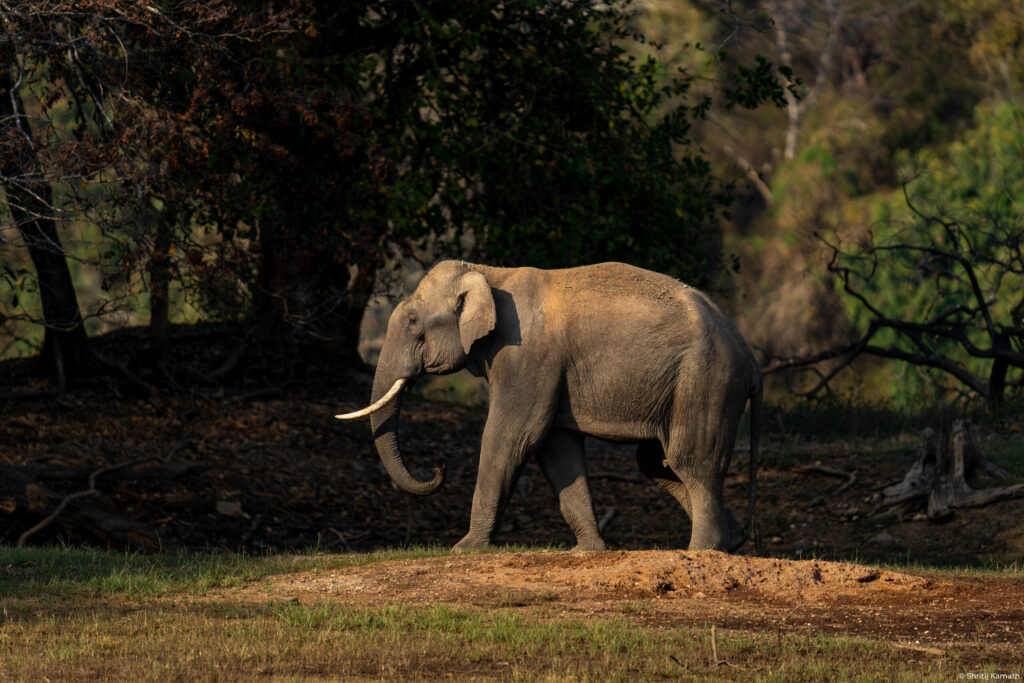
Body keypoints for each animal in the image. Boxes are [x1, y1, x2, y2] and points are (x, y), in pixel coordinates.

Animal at [337, 260, 762, 552]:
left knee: (689, 461)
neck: (491, 273)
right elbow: (556, 446)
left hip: (706, 380)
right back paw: (733, 543)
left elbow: (511, 436)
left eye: (413, 322)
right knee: (658, 462)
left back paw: (702, 552)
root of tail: (750, 358)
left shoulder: (526, 354)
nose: (439, 469)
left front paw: (464, 549)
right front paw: (588, 552)